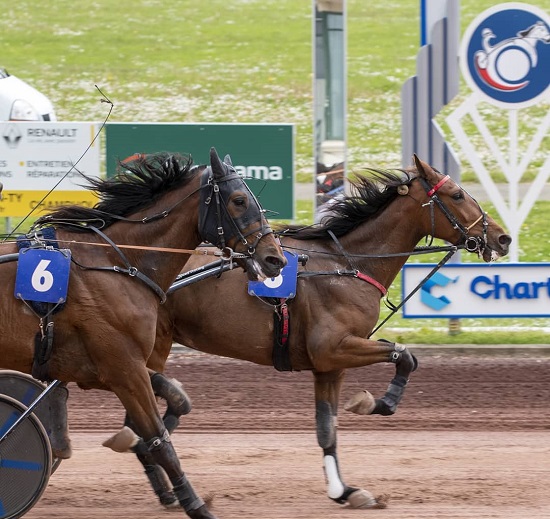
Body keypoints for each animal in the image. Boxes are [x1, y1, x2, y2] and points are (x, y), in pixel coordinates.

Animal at [0, 147, 284, 519]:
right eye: (239, 200)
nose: (275, 259)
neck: (118, 263)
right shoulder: (124, 368)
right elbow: (160, 439)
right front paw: (195, 504)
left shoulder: (111, 367)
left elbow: (176, 400)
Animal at [109, 154, 512, 512]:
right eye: (457, 195)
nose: (503, 238)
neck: (346, 266)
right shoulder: (334, 347)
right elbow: (405, 356)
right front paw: (376, 403)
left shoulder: (329, 365)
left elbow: (326, 429)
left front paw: (344, 491)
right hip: (151, 346)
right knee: (142, 413)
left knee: (141, 417)